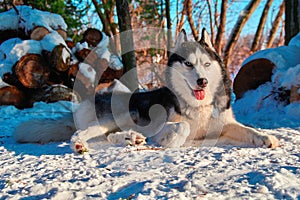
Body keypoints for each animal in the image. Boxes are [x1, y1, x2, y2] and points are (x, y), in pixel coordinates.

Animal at [13, 28, 278, 153]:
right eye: (188, 64)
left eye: (206, 64)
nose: (202, 81)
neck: (199, 106)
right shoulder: (163, 125)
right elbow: (181, 127)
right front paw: (173, 141)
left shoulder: (225, 123)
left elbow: (248, 129)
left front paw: (266, 137)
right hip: (120, 114)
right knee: (85, 133)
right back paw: (82, 144)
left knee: (109, 136)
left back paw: (131, 138)